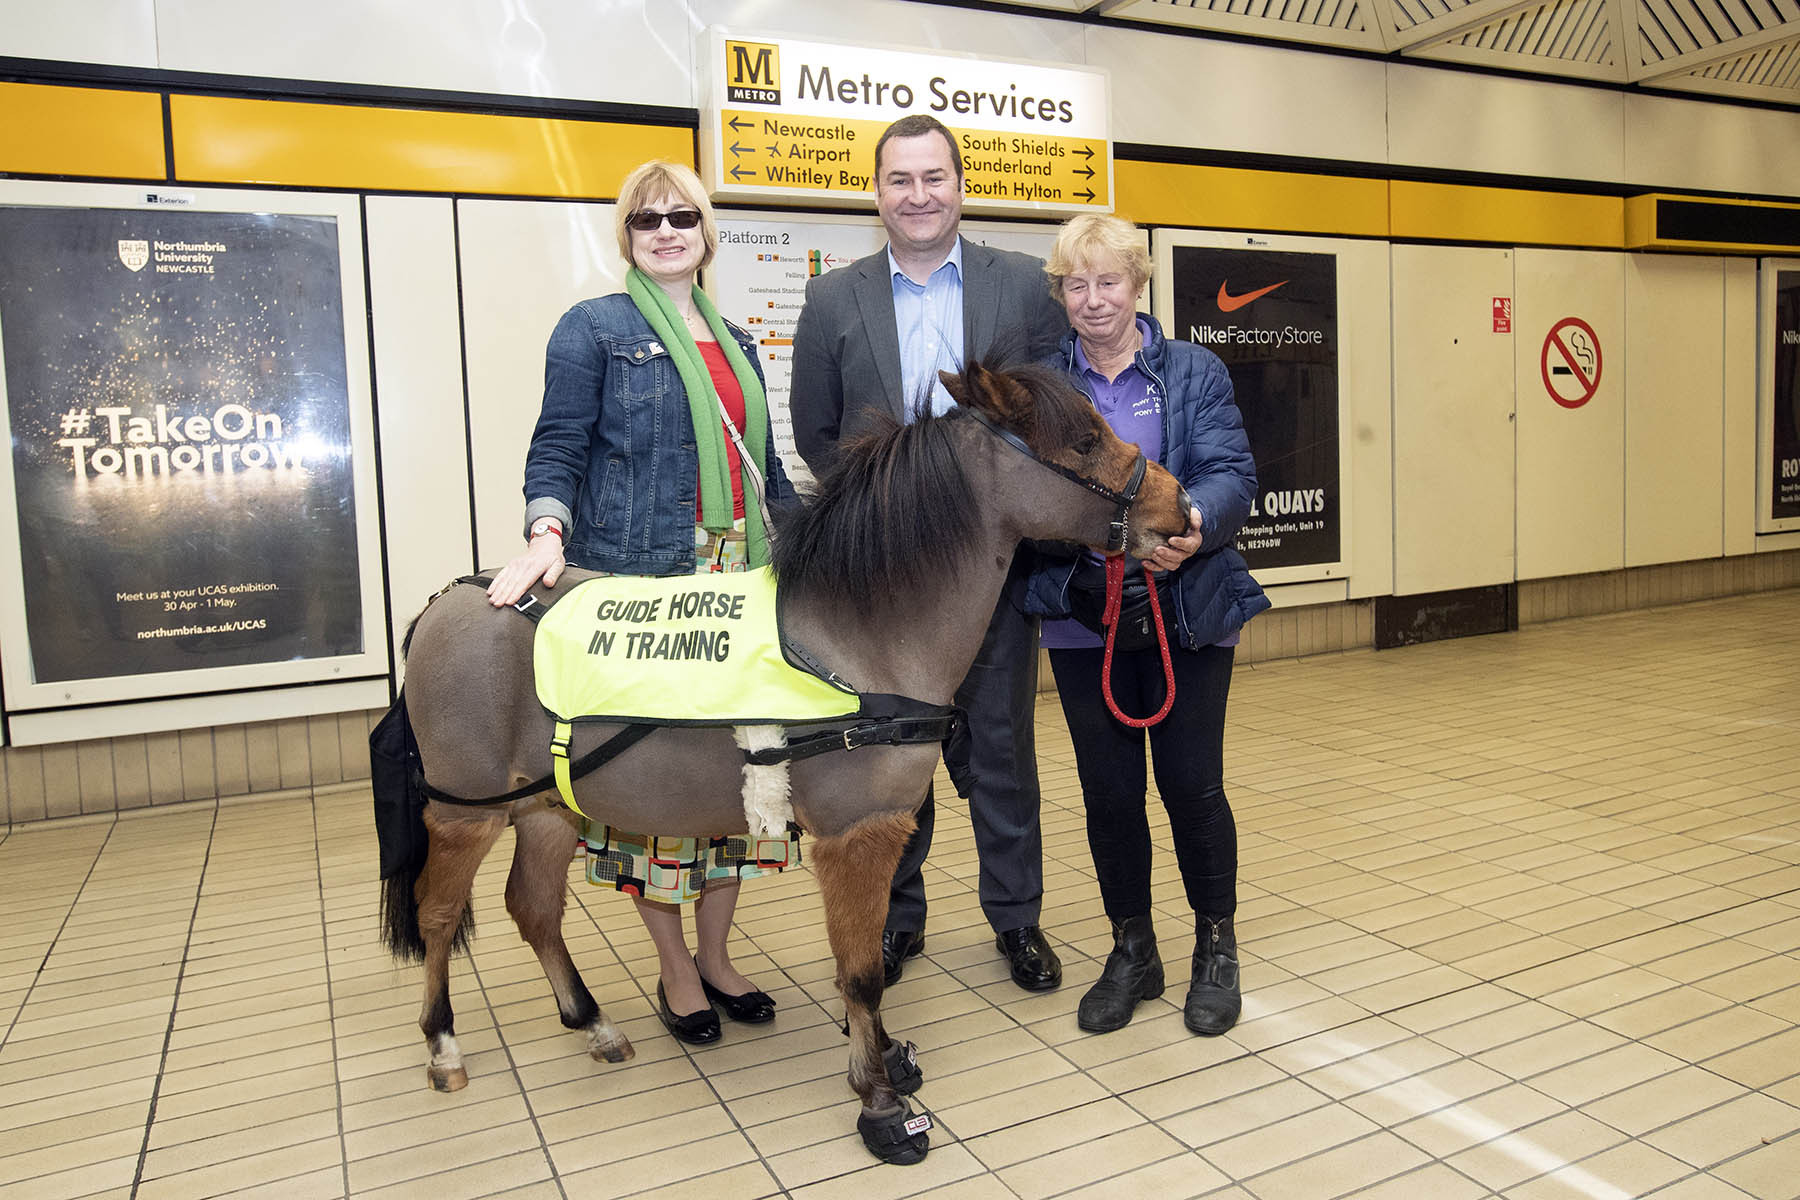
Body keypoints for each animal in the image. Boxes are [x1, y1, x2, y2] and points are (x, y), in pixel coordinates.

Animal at [383, 361, 1195, 1165]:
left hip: (548, 806)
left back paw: (592, 1022)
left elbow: (865, 961)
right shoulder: (857, 835)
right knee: (437, 913)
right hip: (462, 814)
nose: (1181, 508)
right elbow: (860, 974)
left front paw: (884, 1058)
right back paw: (443, 1043)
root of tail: (445, 603)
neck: (858, 640)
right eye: (1085, 441)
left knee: (533, 908)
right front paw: (880, 1102)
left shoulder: (882, 828)